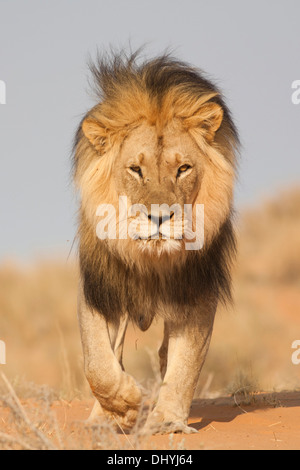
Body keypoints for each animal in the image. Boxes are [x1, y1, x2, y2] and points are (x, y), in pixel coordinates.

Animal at [72, 50, 239, 434]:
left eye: (183, 169)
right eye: (136, 170)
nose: (160, 218)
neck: (152, 259)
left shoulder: (196, 292)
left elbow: (185, 363)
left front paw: (166, 422)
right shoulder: (99, 286)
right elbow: (97, 362)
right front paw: (124, 407)